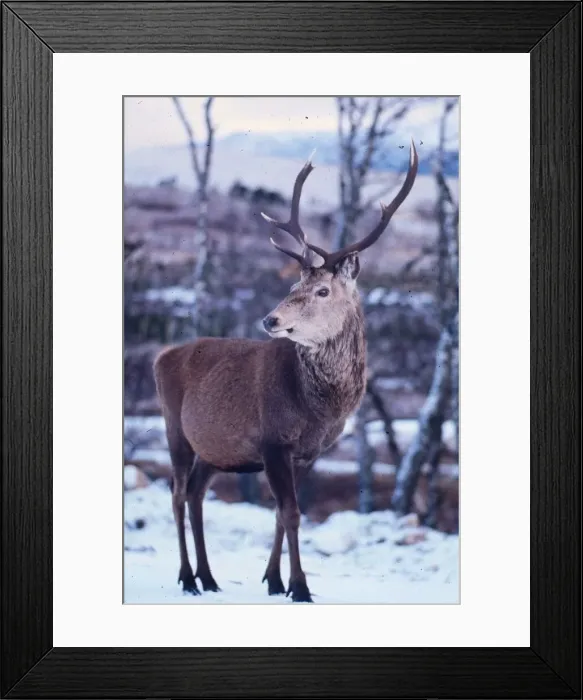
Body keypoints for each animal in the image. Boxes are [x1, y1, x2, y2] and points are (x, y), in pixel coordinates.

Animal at [153, 142, 418, 602]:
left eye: (322, 290)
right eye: (293, 286)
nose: (270, 319)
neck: (317, 409)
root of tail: (160, 358)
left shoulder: (308, 453)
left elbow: (282, 513)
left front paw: (274, 581)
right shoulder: (273, 440)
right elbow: (291, 514)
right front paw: (300, 587)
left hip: (216, 448)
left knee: (197, 492)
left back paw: (208, 577)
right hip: (174, 427)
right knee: (176, 493)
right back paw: (187, 578)